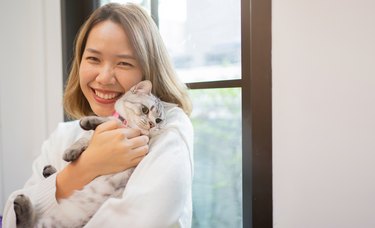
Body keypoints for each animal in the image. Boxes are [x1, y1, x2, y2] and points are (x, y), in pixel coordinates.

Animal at [13, 80, 166, 228]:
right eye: (145, 110)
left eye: (158, 120)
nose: (152, 124)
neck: (127, 125)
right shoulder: (93, 136)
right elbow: (84, 138)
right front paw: (71, 150)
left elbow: (106, 120)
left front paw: (88, 121)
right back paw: (47, 173)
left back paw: (22, 203)